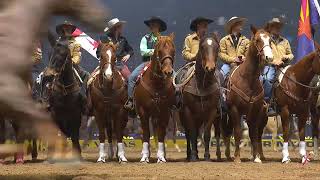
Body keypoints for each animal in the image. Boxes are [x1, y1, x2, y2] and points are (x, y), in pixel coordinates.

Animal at [134, 33, 176, 163]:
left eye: (173, 51)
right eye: (159, 51)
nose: (168, 71)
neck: (156, 83)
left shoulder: (165, 111)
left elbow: (161, 134)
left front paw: (161, 157)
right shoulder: (143, 111)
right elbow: (146, 133)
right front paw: (144, 157)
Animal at [180, 33, 222, 162]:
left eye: (217, 48)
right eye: (202, 48)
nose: (210, 68)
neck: (202, 84)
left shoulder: (212, 111)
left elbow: (207, 134)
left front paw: (207, 156)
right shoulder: (188, 111)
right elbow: (192, 133)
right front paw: (193, 156)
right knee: (188, 134)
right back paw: (190, 154)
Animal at [224, 26, 274, 163]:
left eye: (270, 40)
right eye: (257, 40)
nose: (269, 57)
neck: (247, 79)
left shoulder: (256, 110)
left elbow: (254, 133)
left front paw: (256, 158)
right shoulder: (235, 110)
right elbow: (237, 132)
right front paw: (237, 157)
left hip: (262, 117)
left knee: (258, 133)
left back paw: (259, 155)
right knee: (228, 131)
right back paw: (228, 154)